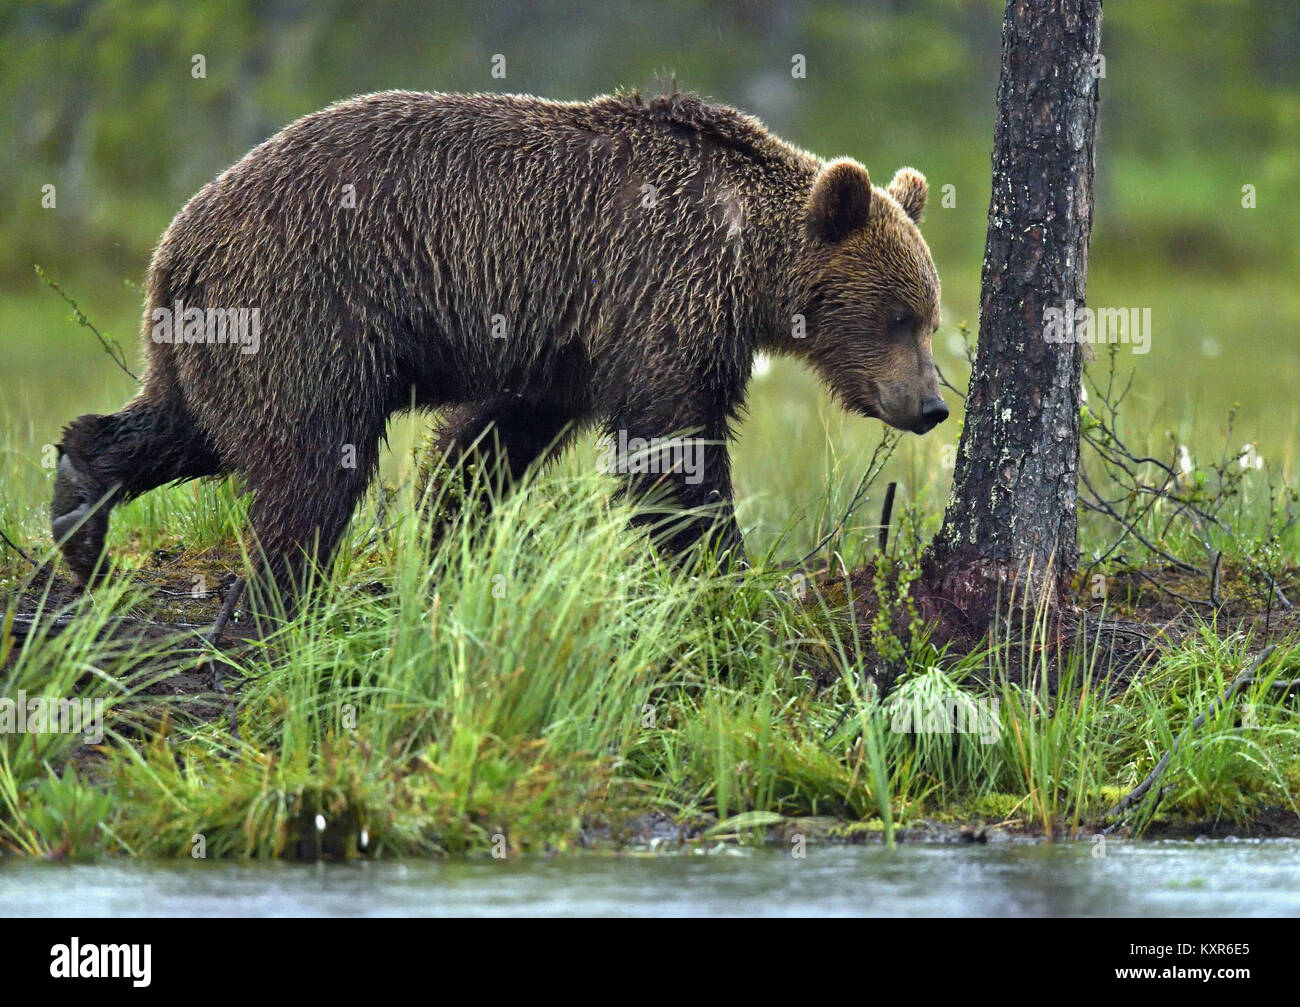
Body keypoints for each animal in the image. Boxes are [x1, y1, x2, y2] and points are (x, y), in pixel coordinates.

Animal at [51, 89, 946, 623]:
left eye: (931, 320)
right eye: (900, 316)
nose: (933, 404)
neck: (745, 260)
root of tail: (176, 244)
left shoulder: (569, 341)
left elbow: (491, 436)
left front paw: (447, 528)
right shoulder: (656, 294)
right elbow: (672, 444)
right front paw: (724, 568)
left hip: (217, 337)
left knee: (187, 425)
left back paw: (79, 511)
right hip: (304, 309)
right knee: (309, 458)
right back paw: (280, 591)